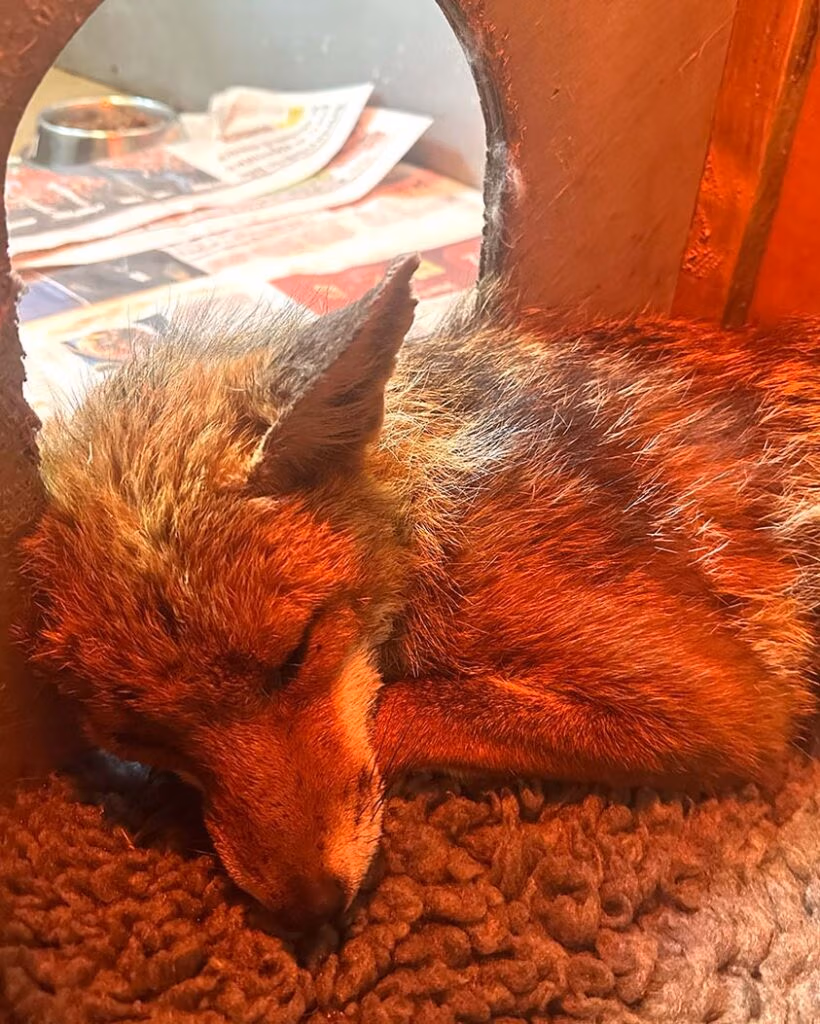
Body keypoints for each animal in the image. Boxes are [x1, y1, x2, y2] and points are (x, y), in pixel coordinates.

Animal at [20, 253, 820, 933]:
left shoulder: (725, 708)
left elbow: (403, 711)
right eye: (138, 737)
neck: (431, 506)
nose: (313, 910)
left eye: (296, 656)